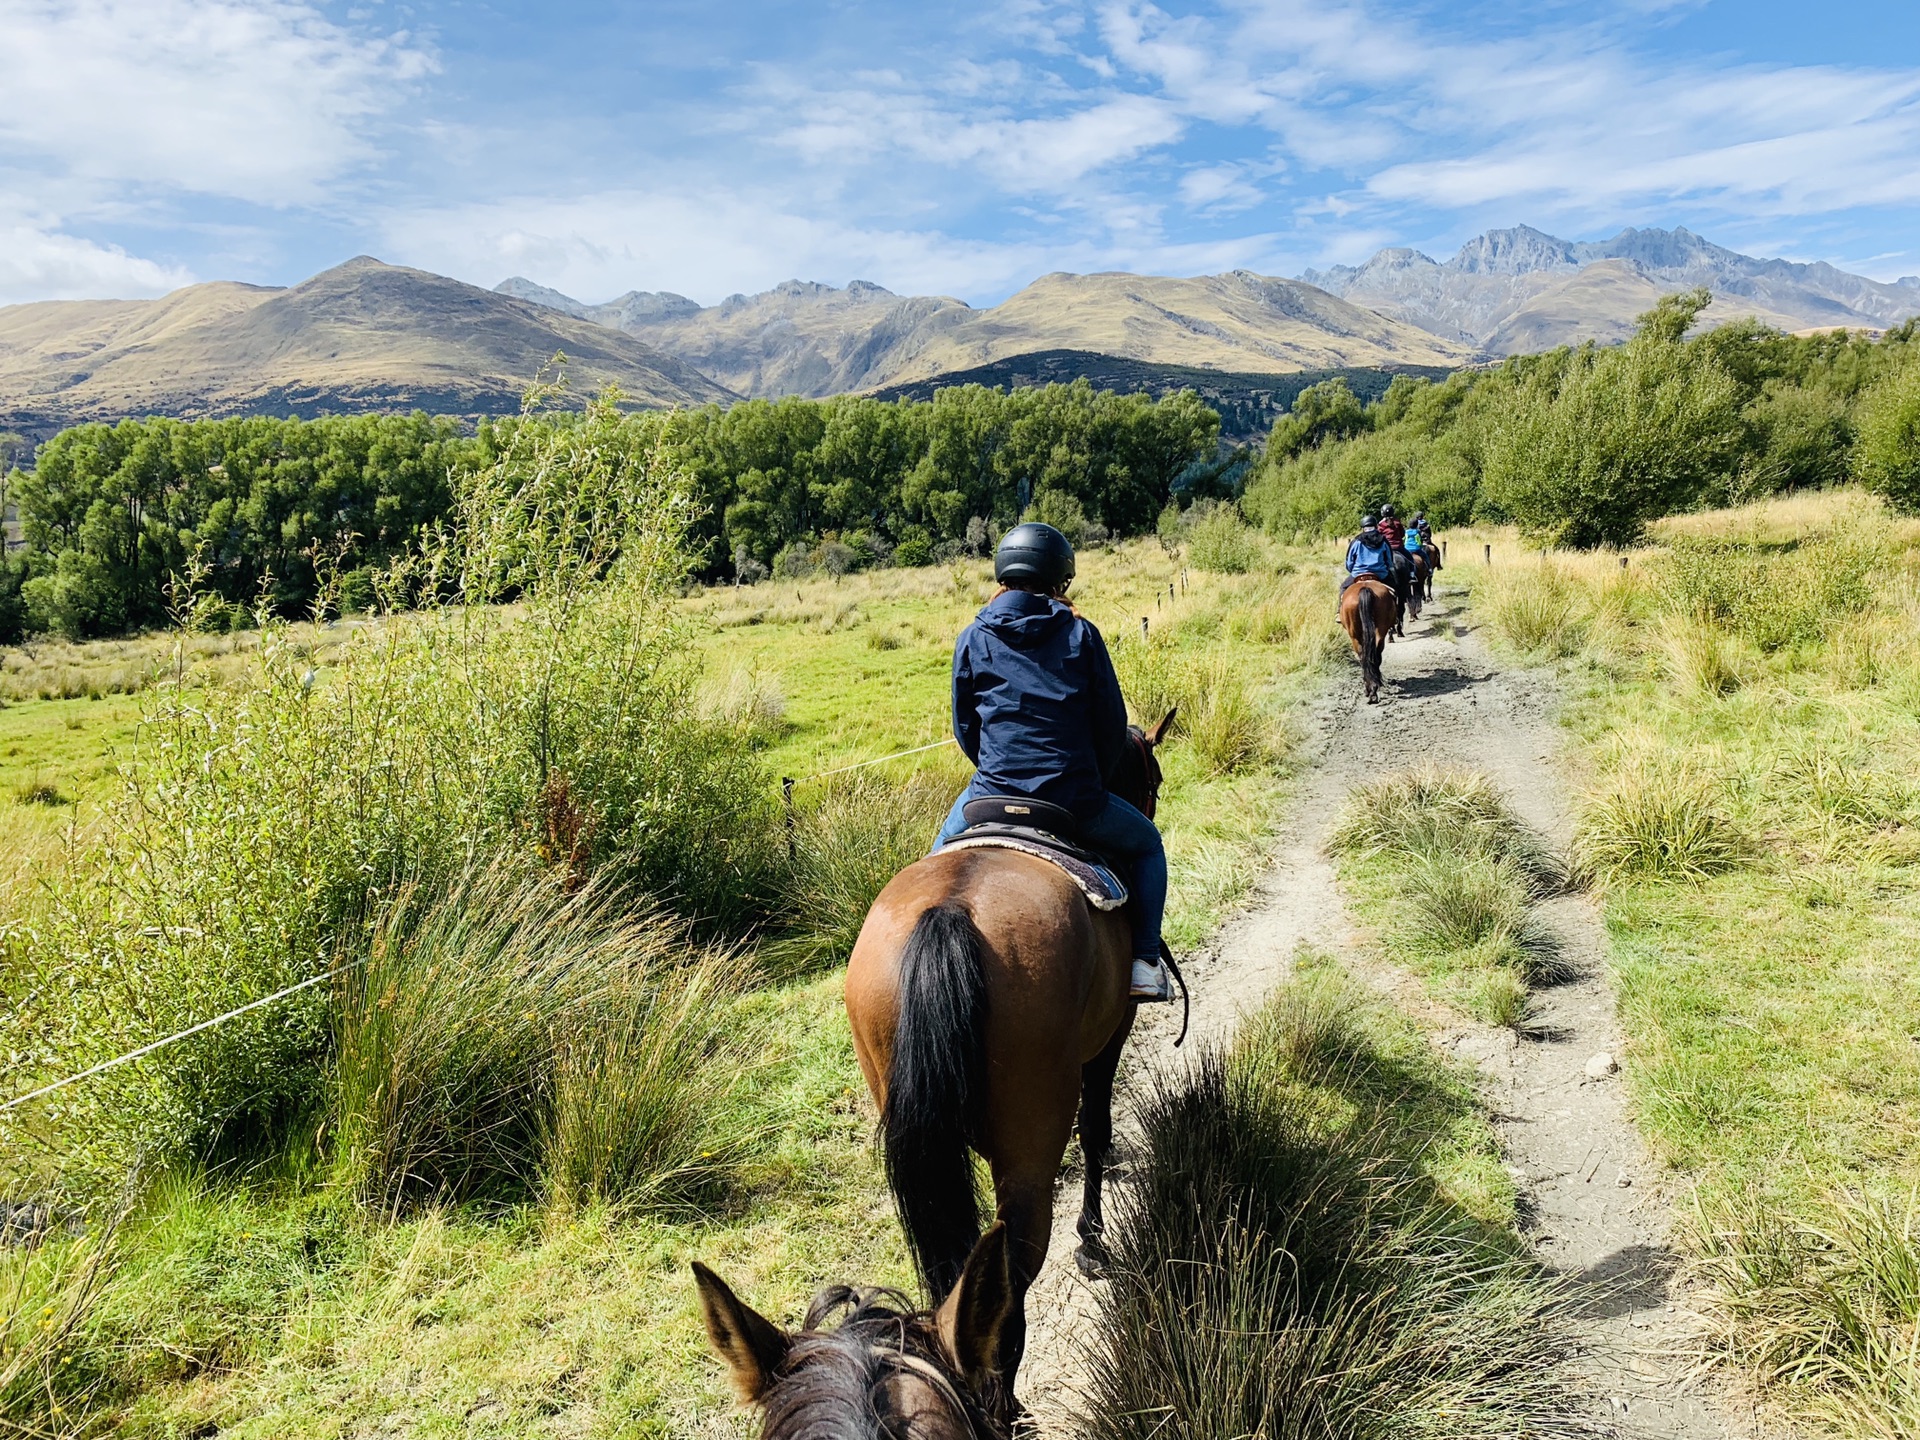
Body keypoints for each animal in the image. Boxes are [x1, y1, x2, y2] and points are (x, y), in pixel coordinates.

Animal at [848, 718, 1175, 1413]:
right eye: (1153, 777)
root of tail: (949, 910)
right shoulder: (1110, 1038)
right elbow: (1096, 1129)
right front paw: (1092, 1239)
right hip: (1029, 1143)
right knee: (1013, 1266)